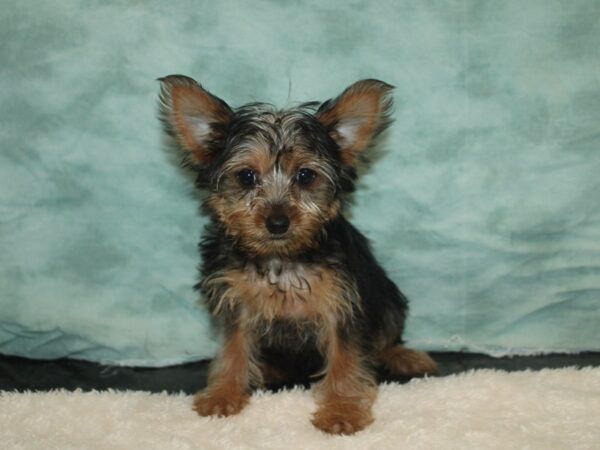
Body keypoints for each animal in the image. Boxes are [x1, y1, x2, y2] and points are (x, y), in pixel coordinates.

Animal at [157, 75, 434, 434]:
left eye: (305, 176)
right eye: (246, 176)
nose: (277, 222)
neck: (282, 259)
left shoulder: (343, 302)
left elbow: (346, 358)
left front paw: (342, 410)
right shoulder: (236, 300)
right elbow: (233, 348)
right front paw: (224, 392)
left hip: (386, 296)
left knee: (387, 333)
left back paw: (403, 356)